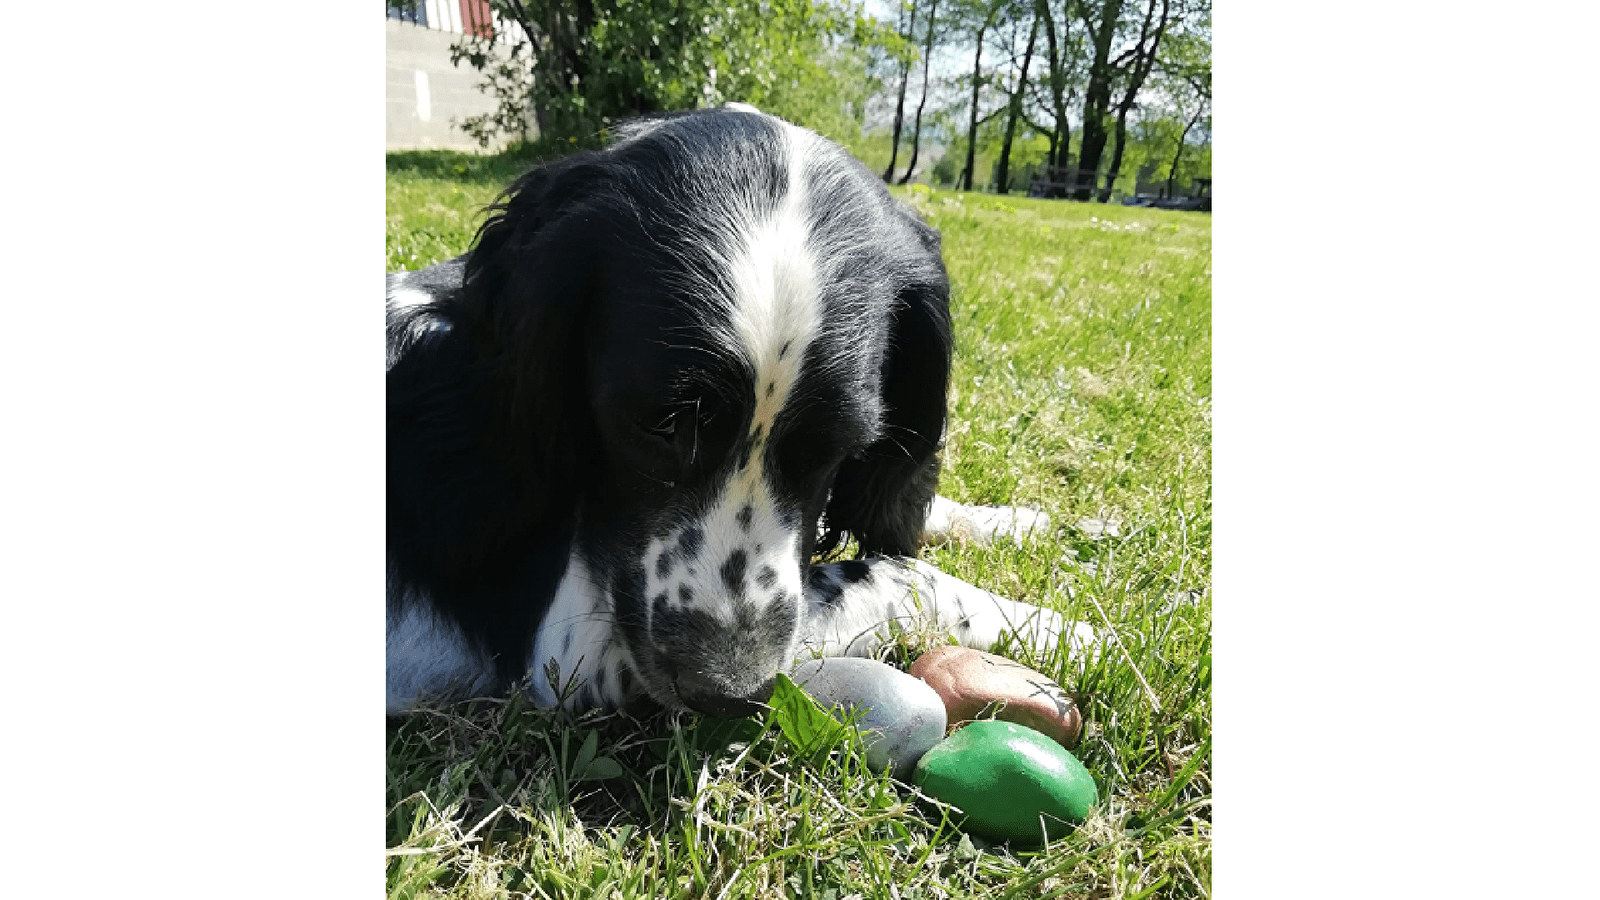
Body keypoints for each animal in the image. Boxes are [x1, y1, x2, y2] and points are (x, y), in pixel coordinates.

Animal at [384, 104, 1100, 714]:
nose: (729, 691)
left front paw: (1018, 523)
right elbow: (898, 576)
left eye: (839, 445)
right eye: (659, 424)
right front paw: (1064, 628)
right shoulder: (575, 649)